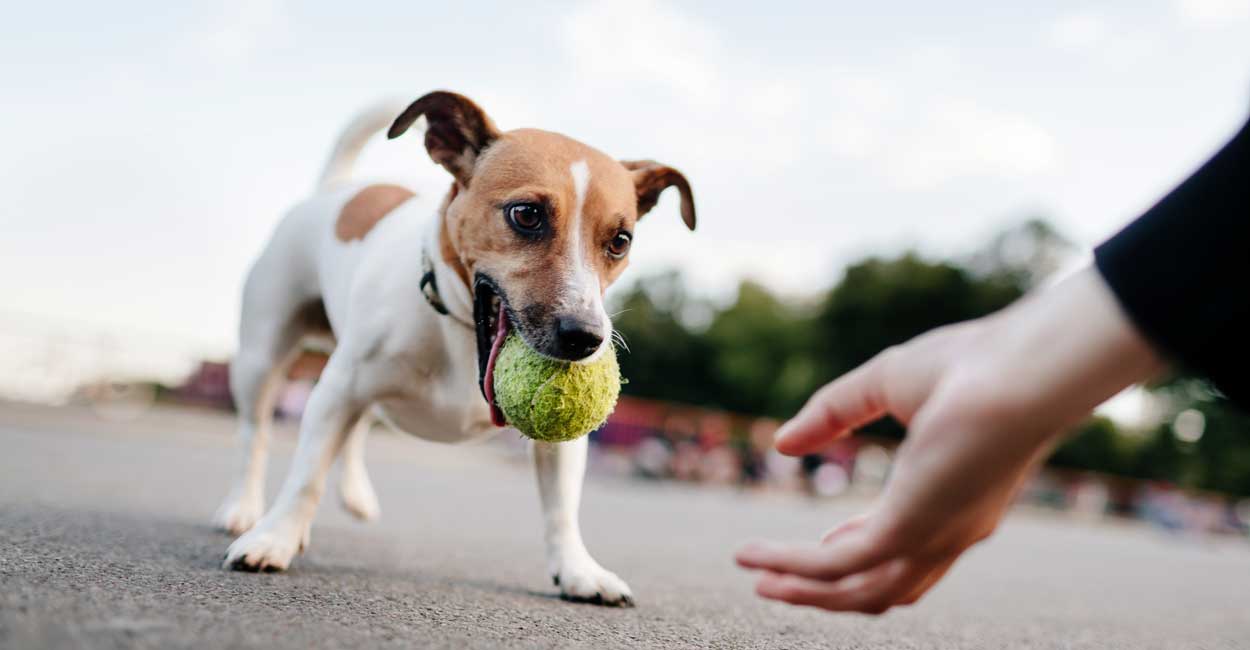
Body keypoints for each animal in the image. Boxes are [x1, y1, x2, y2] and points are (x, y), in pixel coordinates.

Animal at [216, 88, 700, 607]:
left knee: (356, 429)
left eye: (620, 241)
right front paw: (275, 538)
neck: (462, 332)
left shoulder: (563, 443)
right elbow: (306, 475)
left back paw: (355, 494)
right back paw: (243, 508)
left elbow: (561, 509)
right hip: (262, 356)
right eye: (526, 214)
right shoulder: (337, 391)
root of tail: (336, 189)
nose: (585, 337)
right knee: (254, 434)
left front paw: (578, 571)